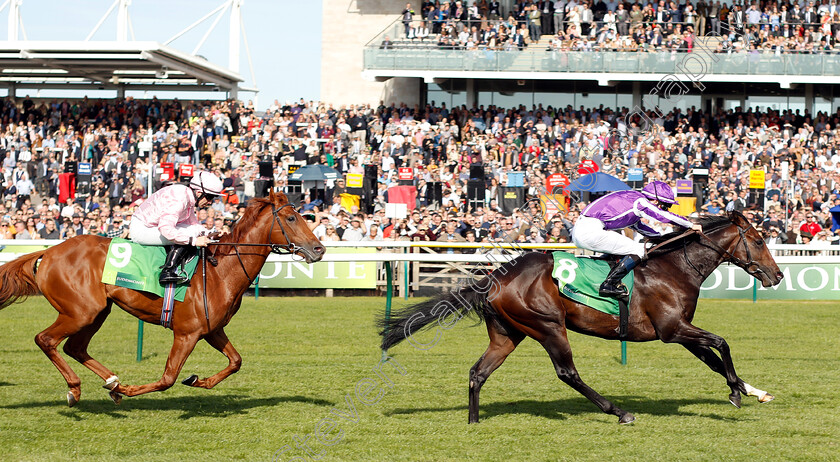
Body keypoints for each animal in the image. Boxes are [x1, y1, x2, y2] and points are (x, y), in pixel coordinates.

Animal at [0, 189, 324, 406]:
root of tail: (49, 251)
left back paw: (111, 381)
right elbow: (168, 379)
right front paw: (129, 390)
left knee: (75, 348)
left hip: (97, 311)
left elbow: (236, 361)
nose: (319, 249)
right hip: (80, 311)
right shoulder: (187, 333)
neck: (219, 272)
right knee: (46, 340)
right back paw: (77, 388)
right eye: (291, 218)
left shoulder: (211, 329)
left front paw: (198, 380)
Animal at [380, 211, 788, 424]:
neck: (673, 268)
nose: (778, 275)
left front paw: (755, 391)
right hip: (547, 326)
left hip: (508, 334)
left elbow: (714, 359)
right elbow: (722, 343)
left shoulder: (680, 332)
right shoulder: (673, 329)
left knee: (478, 372)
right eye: (758, 240)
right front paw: (736, 392)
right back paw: (619, 411)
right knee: (567, 373)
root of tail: (494, 278)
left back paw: (473, 420)